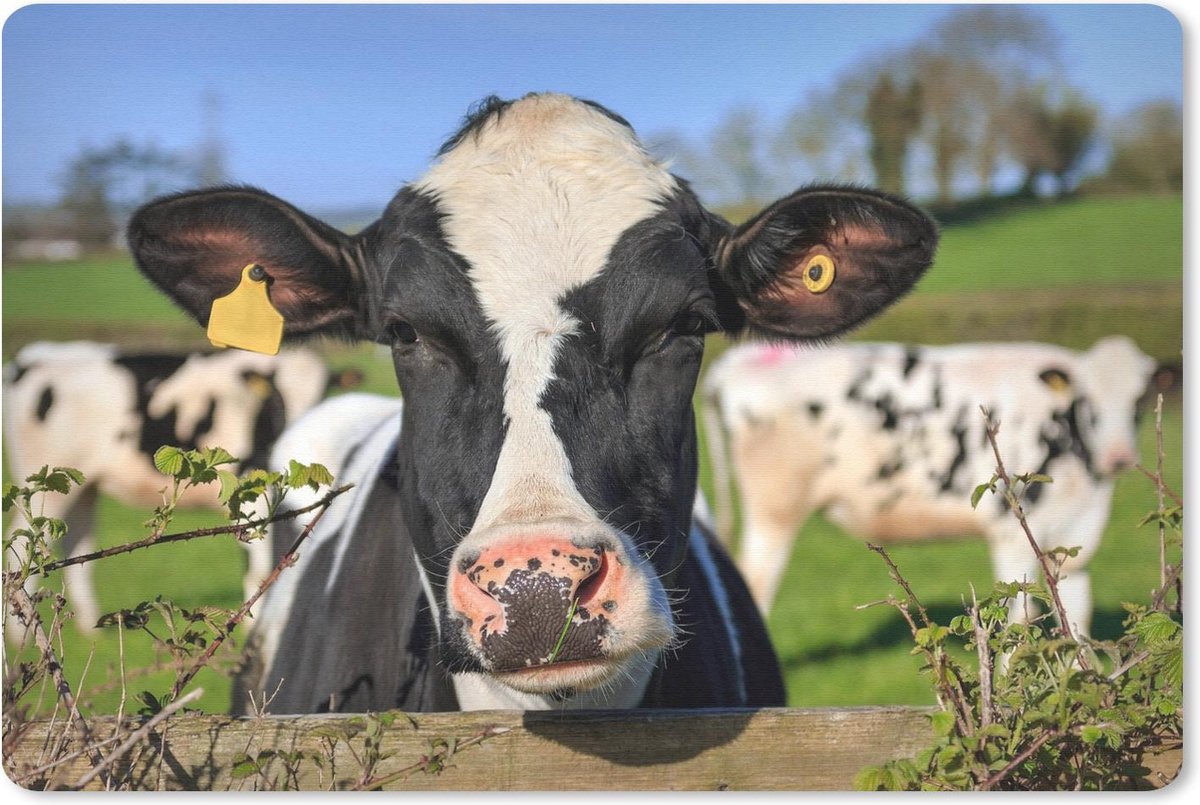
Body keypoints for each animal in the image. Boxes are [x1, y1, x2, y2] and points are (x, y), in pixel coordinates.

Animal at [2, 341, 341, 641]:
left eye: (323, 399)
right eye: (276, 400)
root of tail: (34, 357)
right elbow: (258, 561)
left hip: (83, 488)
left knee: (76, 543)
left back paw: (89, 628)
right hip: (43, 485)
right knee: (23, 543)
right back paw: (22, 635)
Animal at [701, 336, 1157, 636]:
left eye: (1138, 402)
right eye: (1088, 402)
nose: (1118, 457)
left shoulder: (1074, 536)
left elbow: (1076, 616)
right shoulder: (1012, 531)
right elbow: (1020, 614)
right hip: (776, 510)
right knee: (754, 586)